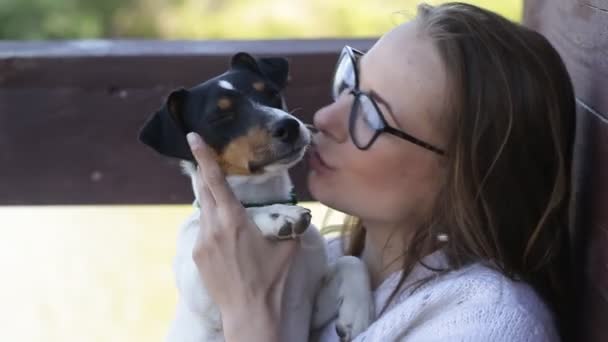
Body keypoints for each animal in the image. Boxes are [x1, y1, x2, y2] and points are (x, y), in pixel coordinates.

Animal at [140, 51, 372, 342]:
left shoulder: (310, 304)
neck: (263, 192)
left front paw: (357, 313)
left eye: (272, 93)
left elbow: (351, 262)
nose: (289, 126)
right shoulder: (208, 294)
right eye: (221, 116)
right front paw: (278, 215)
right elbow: (247, 211)